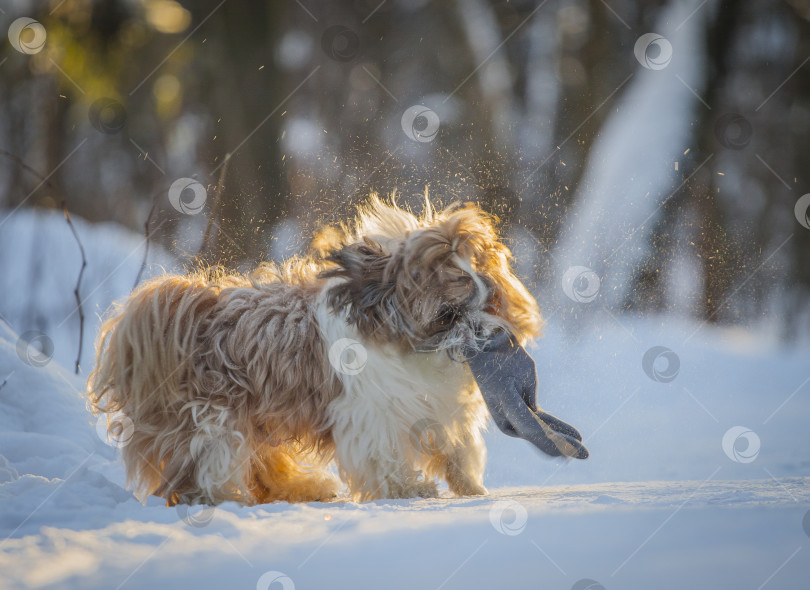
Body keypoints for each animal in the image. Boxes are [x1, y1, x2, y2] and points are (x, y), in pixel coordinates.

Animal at [87, 198, 544, 504]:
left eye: (489, 301)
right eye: (448, 315)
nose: (487, 332)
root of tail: (185, 309)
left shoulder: (431, 405)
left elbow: (456, 446)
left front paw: (469, 485)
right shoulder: (370, 415)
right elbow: (384, 457)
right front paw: (409, 488)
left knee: (262, 464)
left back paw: (304, 488)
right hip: (213, 419)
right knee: (204, 466)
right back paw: (222, 498)